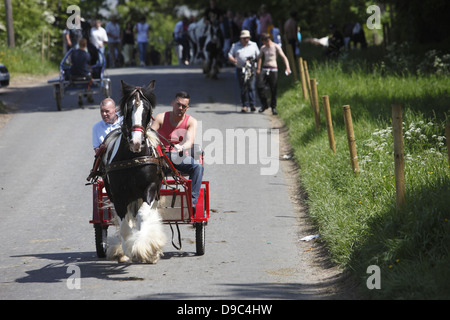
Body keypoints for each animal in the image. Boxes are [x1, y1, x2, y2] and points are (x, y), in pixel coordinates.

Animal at [103, 79, 166, 262]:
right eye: (128, 109)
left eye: (147, 110)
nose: (136, 142)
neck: (133, 157)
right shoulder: (118, 195)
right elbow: (124, 224)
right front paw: (130, 248)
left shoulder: (151, 188)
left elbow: (143, 215)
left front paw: (147, 247)